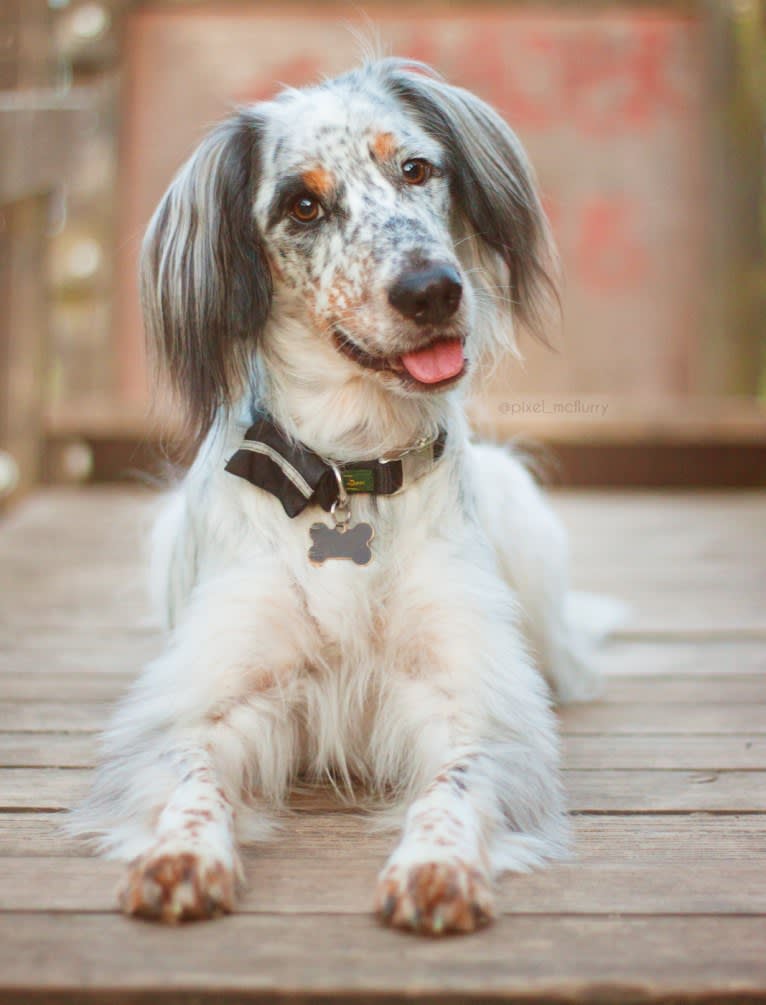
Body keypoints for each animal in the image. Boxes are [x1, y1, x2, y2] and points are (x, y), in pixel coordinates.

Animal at [74, 57, 607, 932]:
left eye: (416, 169)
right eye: (303, 204)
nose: (432, 289)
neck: (347, 470)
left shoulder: (472, 702)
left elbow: (453, 785)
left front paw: (435, 866)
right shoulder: (200, 705)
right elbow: (191, 780)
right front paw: (180, 856)